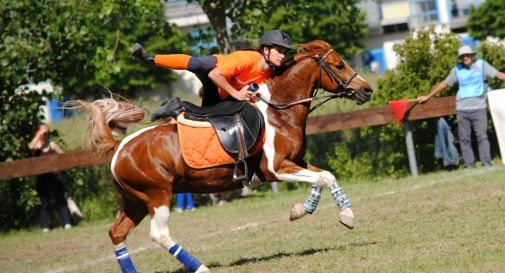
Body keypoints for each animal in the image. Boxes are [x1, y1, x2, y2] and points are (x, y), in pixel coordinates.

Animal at [75, 39, 372, 270]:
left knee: (117, 234)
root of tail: (120, 147)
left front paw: (330, 213)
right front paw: (309, 211)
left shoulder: (295, 162)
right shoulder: (276, 169)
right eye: (338, 65)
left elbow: (327, 176)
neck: (279, 111)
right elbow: (321, 179)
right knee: (159, 234)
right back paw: (200, 267)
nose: (367, 90)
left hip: (134, 201)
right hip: (157, 195)